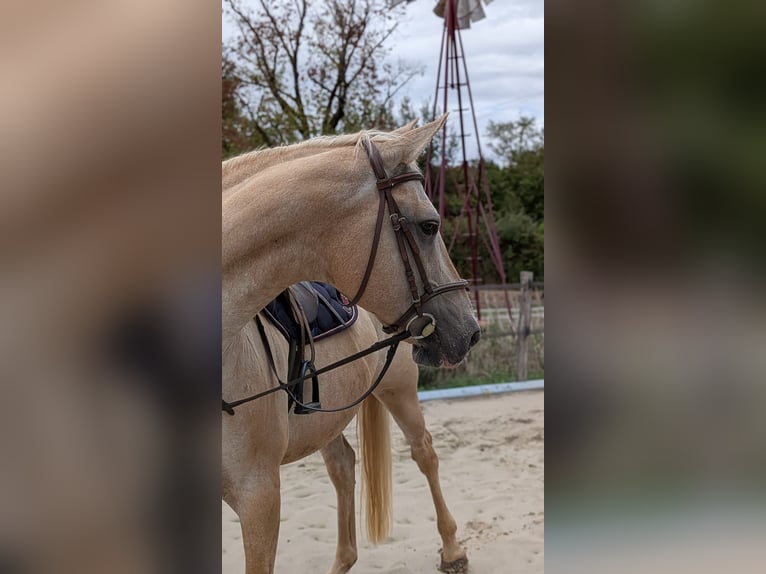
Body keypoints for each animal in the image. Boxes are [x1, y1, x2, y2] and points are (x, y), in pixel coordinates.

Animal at [222, 116, 480, 573]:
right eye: (430, 225)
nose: (470, 330)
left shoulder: (259, 496)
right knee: (343, 465)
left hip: (399, 389)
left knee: (424, 453)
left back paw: (452, 550)